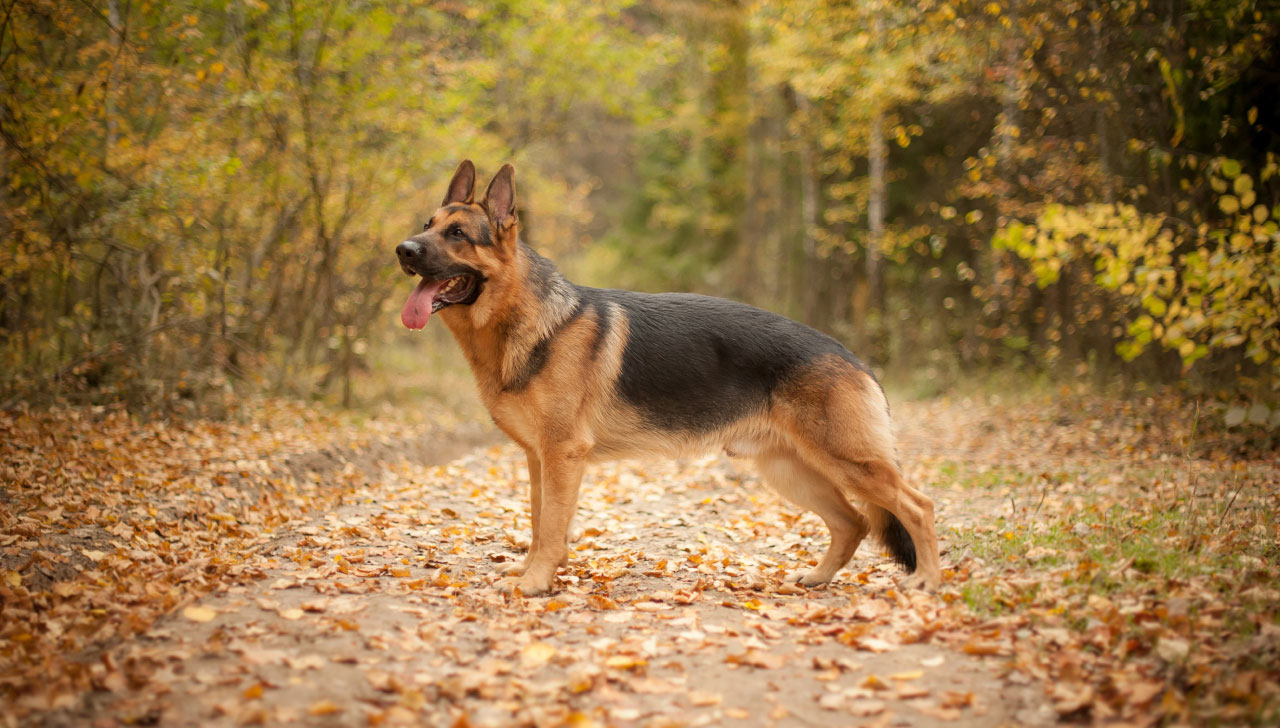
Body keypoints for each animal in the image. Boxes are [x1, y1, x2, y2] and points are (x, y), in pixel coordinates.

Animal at [389, 161, 942, 593]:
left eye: (457, 235)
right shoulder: (537, 459)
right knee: (852, 523)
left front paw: (535, 582)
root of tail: (853, 358)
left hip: (849, 463)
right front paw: (532, 573)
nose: (403, 250)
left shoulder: (563, 455)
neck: (525, 317)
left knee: (918, 507)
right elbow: (540, 521)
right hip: (794, 472)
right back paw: (817, 578)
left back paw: (927, 581)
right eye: (427, 224)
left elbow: (550, 527)